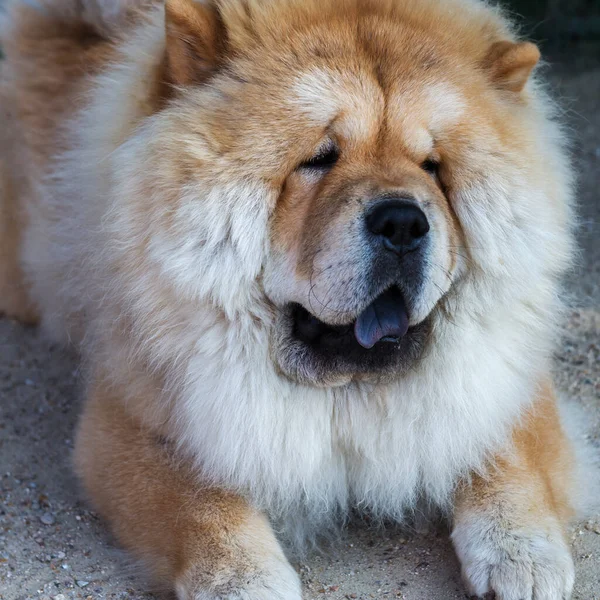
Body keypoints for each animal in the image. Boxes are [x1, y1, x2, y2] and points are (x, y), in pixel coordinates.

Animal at [0, 0, 592, 596]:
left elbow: (507, 453)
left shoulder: (507, 376)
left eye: (433, 168)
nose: (403, 222)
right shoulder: (136, 413)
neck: (347, 394)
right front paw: (245, 579)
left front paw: (522, 556)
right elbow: (198, 497)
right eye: (319, 158)